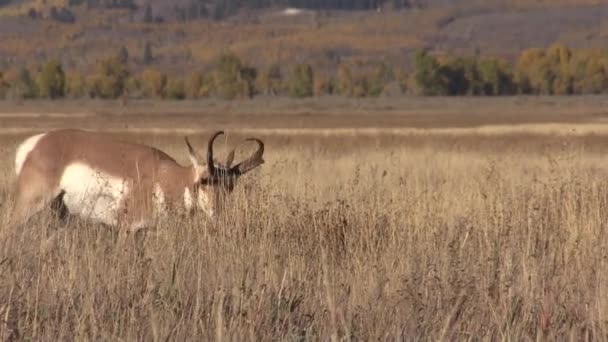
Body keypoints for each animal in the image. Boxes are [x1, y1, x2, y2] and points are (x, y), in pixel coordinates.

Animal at [8, 128, 262, 230]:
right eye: (204, 181)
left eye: (230, 186)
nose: (217, 212)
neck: (165, 176)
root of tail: (35, 143)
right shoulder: (125, 229)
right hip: (29, 204)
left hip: (59, 209)